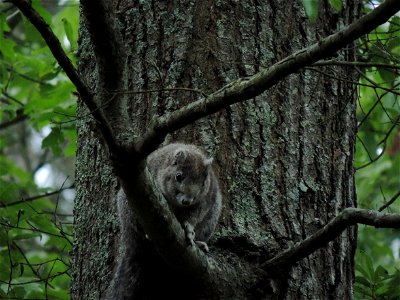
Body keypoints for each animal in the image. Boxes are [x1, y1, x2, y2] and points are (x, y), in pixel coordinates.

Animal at [105, 144, 222, 298]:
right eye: (178, 176)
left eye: (203, 183)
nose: (187, 200)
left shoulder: (205, 200)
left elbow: (194, 216)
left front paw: (189, 229)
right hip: (128, 208)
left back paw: (199, 244)